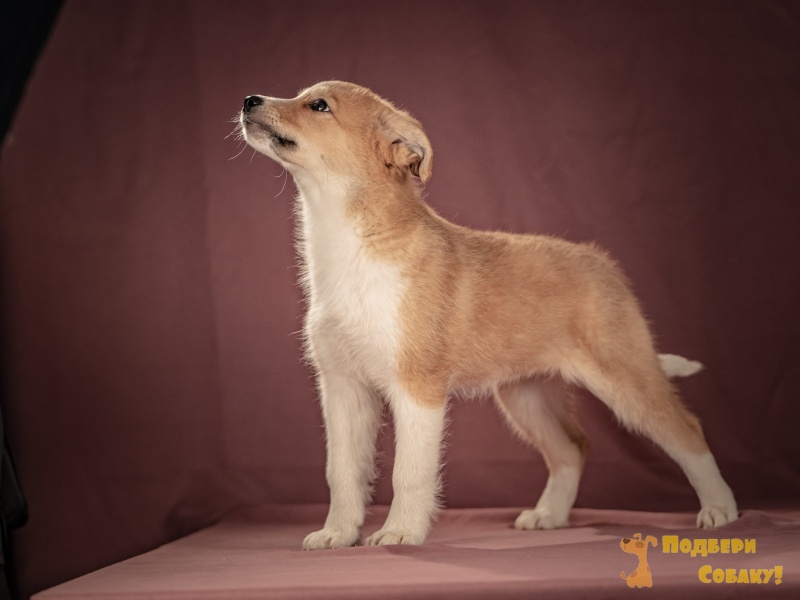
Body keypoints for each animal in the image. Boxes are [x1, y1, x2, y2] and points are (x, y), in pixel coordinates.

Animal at [239, 81, 738, 549]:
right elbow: (341, 471)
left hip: (623, 375)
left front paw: (400, 533)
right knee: (571, 448)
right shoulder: (343, 388)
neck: (354, 244)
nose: (248, 100)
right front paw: (337, 535)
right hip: (527, 394)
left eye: (319, 105)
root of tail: (604, 264)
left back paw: (720, 510)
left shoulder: (417, 388)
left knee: (686, 431)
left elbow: (409, 471)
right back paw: (548, 515)